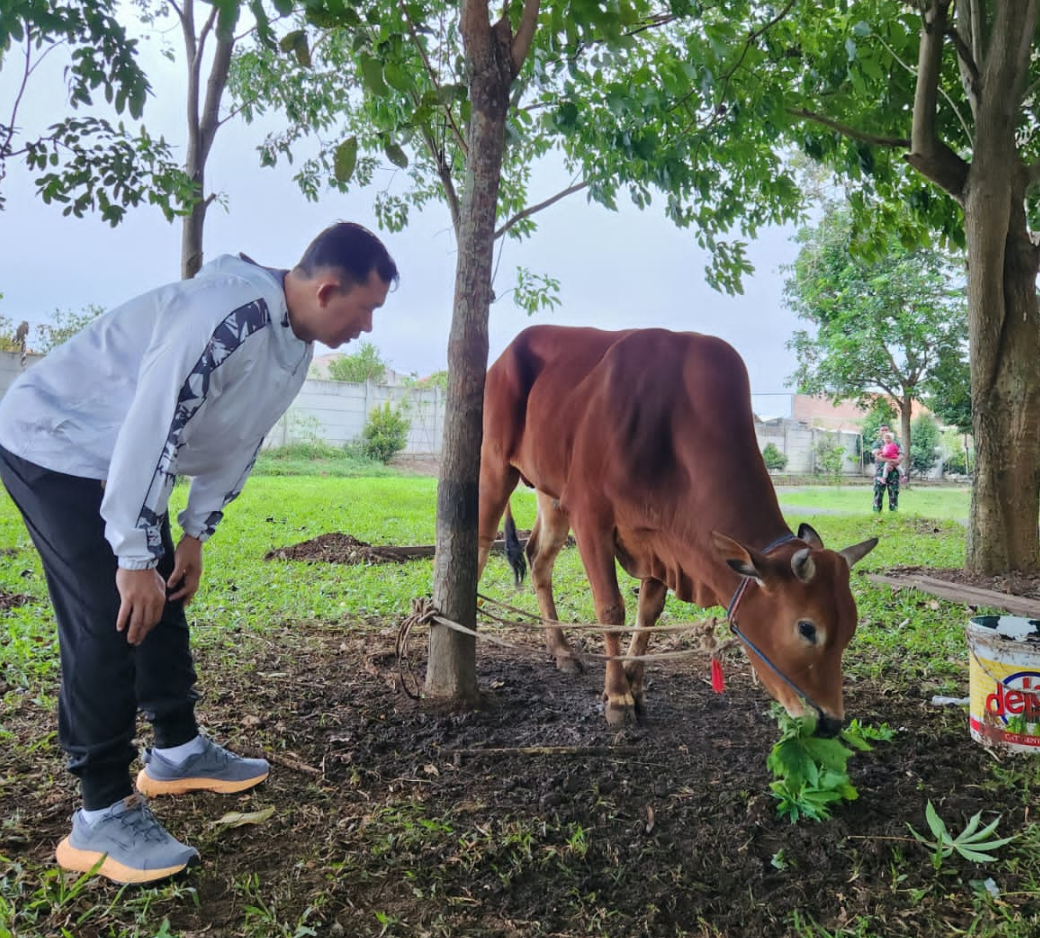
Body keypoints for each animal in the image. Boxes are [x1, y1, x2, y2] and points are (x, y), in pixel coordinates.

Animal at [476, 325, 877, 736]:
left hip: (551, 495)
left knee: (538, 560)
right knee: (478, 549)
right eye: (807, 628)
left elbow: (648, 613)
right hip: (494, 466)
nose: (831, 722)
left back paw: (561, 651)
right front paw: (617, 697)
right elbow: (611, 609)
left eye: (850, 628)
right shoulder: (590, 516)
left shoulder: (663, 542)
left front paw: (636, 688)